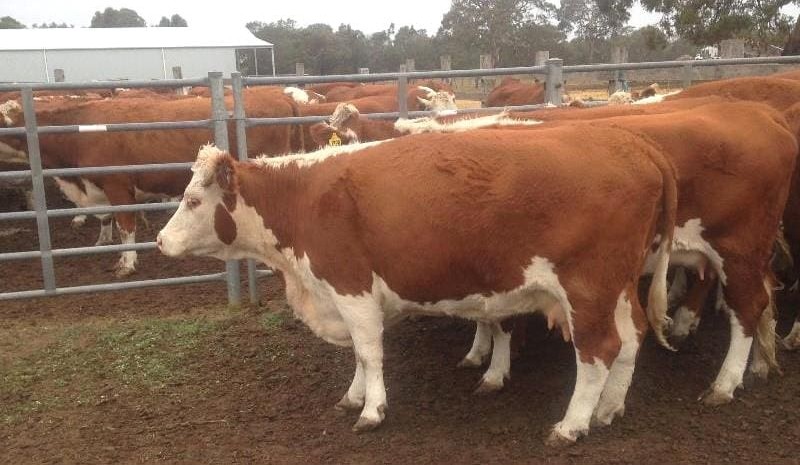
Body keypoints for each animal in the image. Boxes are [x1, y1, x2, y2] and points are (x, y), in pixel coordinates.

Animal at [157, 119, 677, 444]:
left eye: (193, 201)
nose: (160, 240)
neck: (304, 198)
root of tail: (634, 144)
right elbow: (360, 357)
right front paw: (354, 397)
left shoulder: (351, 286)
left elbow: (369, 352)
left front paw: (371, 411)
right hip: (617, 288)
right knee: (632, 339)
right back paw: (608, 411)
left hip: (587, 289)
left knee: (599, 351)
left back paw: (572, 425)